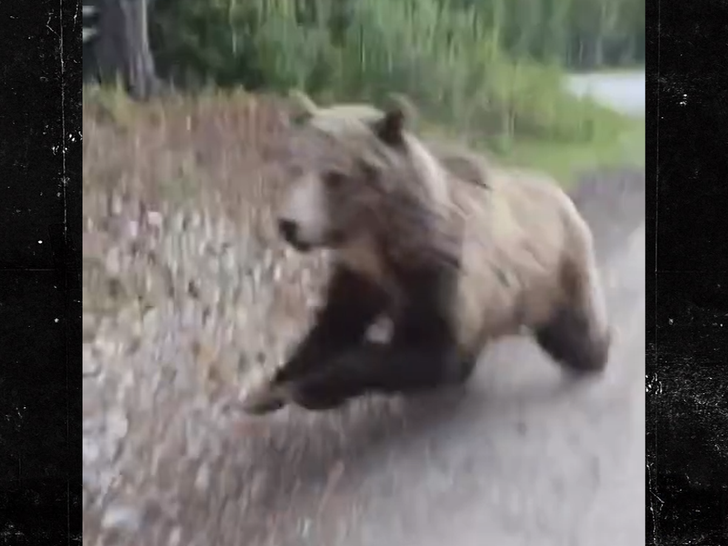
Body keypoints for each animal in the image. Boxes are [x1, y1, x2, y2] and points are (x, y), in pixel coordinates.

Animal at [240, 94, 612, 414]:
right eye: (293, 168)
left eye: (335, 176)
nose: (289, 224)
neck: (377, 239)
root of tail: (558, 191)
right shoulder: (358, 276)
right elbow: (330, 326)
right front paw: (265, 390)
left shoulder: (437, 268)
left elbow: (430, 350)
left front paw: (315, 388)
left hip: (560, 268)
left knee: (578, 334)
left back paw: (598, 348)